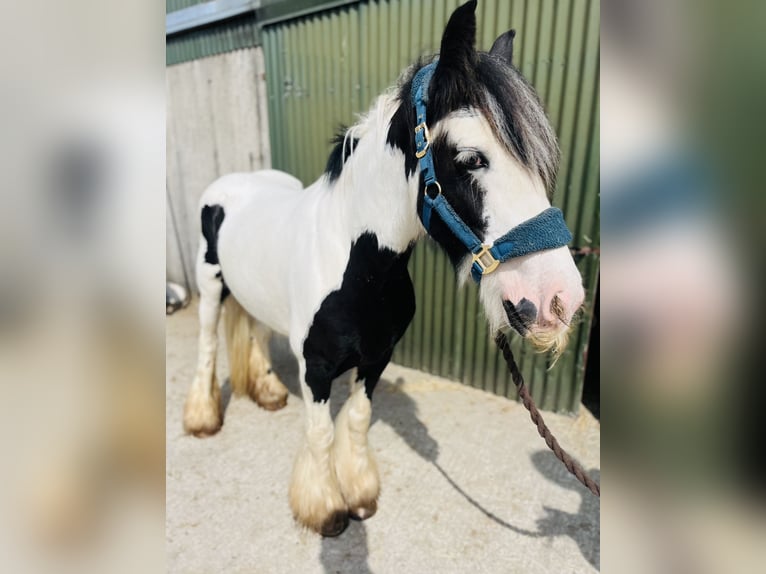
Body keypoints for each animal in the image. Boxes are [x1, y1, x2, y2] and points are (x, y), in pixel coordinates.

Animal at [182, 0, 585, 537]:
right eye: (471, 158)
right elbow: (320, 433)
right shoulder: (316, 369)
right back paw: (202, 419)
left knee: (257, 333)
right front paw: (325, 509)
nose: (558, 299)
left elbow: (354, 420)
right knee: (208, 347)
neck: (359, 269)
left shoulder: (376, 359)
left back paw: (267, 391)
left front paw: (359, 495)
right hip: (210, 289)